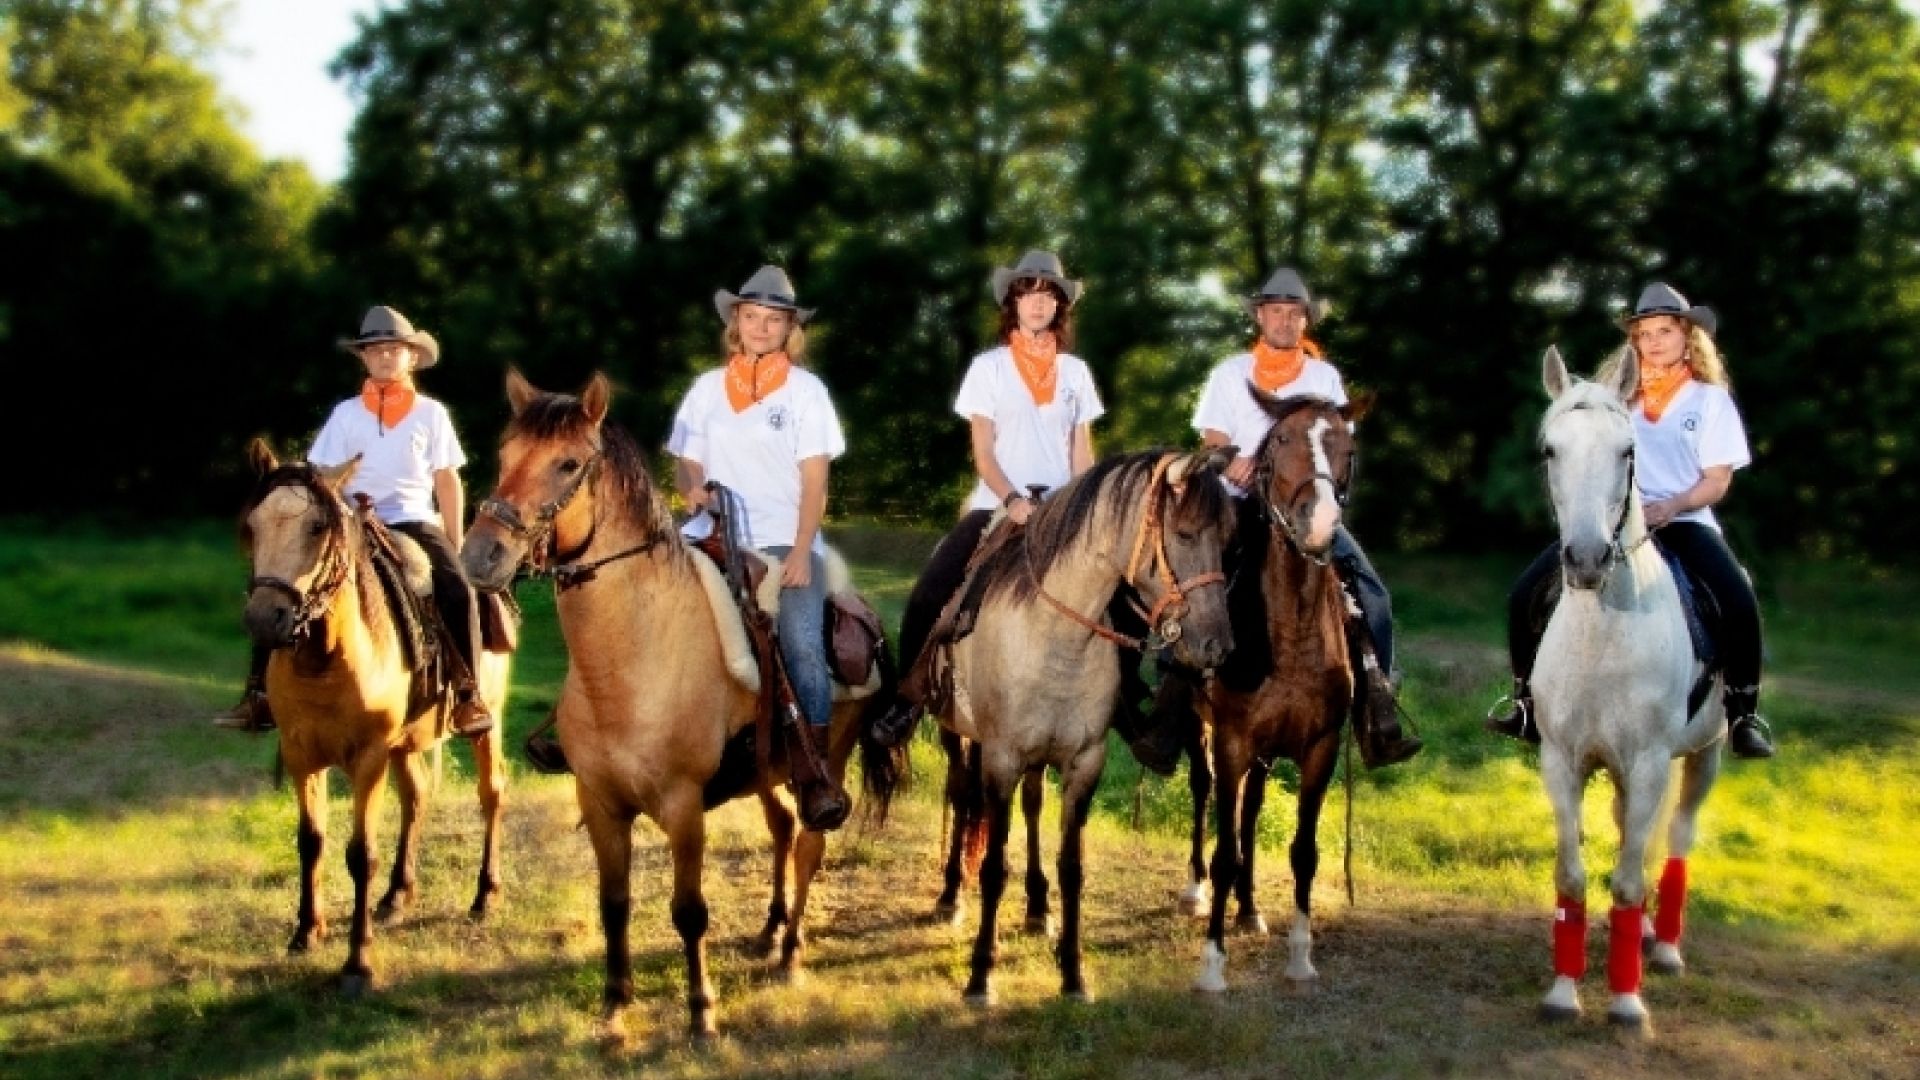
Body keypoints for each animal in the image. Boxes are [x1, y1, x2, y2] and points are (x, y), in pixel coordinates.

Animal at [1190, 388, 1374, 991]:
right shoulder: (1231, 740)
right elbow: (1224, 851)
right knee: (1204, 793)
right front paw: (1212, 966)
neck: (1290, 634)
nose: (1318, 523)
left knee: (1250, 811)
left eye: (1346, 447)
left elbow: (1303, 852)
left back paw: (1249, 911)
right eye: (1283, 440)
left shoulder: (1318, 747)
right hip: (1201, 729)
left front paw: (1300, 957)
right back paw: (1196, 892)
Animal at [1528, 349, 1728, 1030]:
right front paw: (1564, 992)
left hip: (1704, 755)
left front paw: (1625, 1001)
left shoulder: (1648, 764)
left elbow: (1628, 880)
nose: (1587, 559)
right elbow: (1572, 876)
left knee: (1676, 841)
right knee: (1627, 837)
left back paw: (1660, 948)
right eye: (1550, 450)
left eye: (1627, 450)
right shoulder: (1562, 761)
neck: (1602, 634)